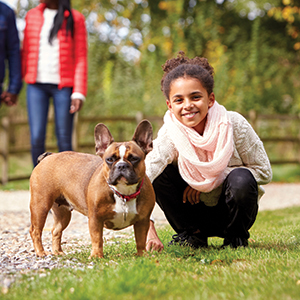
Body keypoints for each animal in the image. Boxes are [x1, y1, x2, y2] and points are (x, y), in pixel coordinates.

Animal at [28, 119, 155, 258]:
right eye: (110, 159)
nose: (121, 165)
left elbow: (141, 239)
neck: (123, 193)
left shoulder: (143, 220)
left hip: (63, 214)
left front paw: (142, 255)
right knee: (35, 230)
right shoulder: (95, 218)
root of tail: (49, 156)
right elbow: (97, 238)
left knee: (56, 230)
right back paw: (40, 252)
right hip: (40, 205)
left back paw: (58, 252)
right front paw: (96, 256)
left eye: (134, 158)